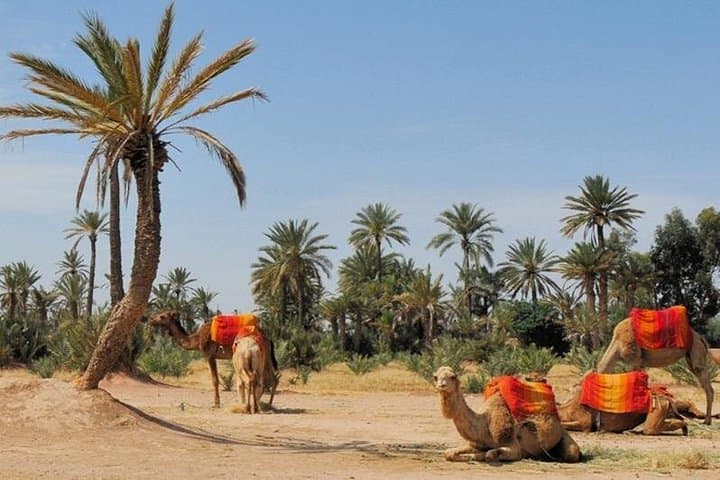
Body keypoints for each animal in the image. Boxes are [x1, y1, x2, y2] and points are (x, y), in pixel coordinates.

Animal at [149, 311, 278, 408]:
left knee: (270, 378)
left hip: (264, 356)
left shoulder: (210, 355)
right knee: (269, 378)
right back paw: (265, 403)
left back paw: (266, 404)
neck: (197, 339)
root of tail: (268, 338)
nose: (151, 318)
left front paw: (216, 404)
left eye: (162, 316)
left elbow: (215, 380)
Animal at [433, 366, 581, 463]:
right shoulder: (475, 443)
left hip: (565, 436)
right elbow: (448, 453)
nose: (441, 385)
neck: (485, 424)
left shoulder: (514, 447)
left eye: (453, 377)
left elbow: (489, 454)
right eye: (436, 377)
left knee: (572, 454)